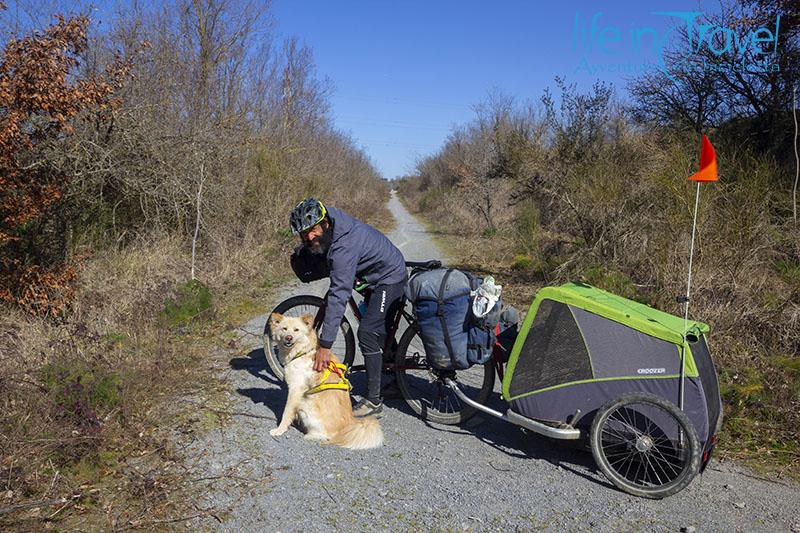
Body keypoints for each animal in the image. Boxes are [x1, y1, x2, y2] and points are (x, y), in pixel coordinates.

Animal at [266, 312, 384, 448]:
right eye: (284, 329)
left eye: (296, 330)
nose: (289, 338)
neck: (302, 351)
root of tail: (350, 425)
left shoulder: (295, 390)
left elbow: (287, 412)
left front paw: (279, 430)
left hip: (305, 403)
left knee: (327, 435)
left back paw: (310, 435)